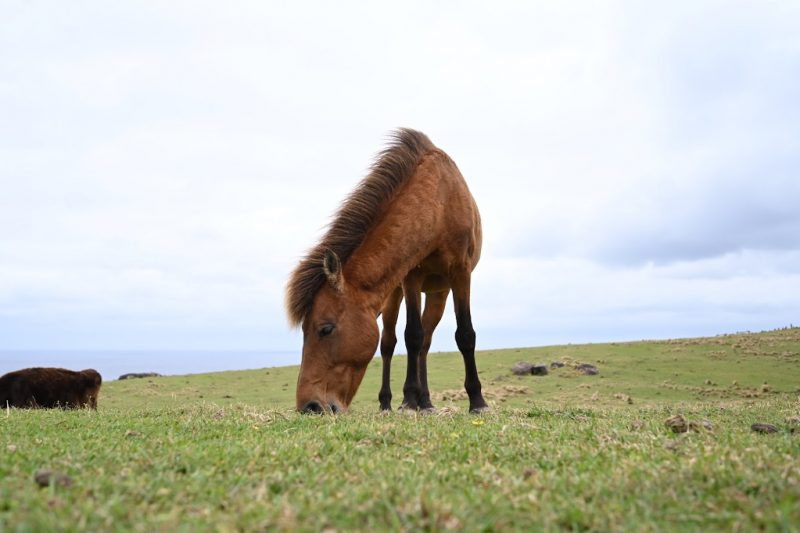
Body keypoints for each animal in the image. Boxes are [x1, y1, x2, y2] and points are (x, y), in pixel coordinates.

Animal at [288, 128, 488, 412]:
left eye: (325, 329)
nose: (310, 407)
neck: (438, 203)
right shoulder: (411, 278)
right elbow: (411, 336)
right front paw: (409, 401)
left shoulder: (461, 274)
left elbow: (464, 335)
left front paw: (477, 401)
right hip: (396, 294)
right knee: (390, 343)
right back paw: (392, 402)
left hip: (438, 292)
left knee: (426, 342)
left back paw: (426, 401)